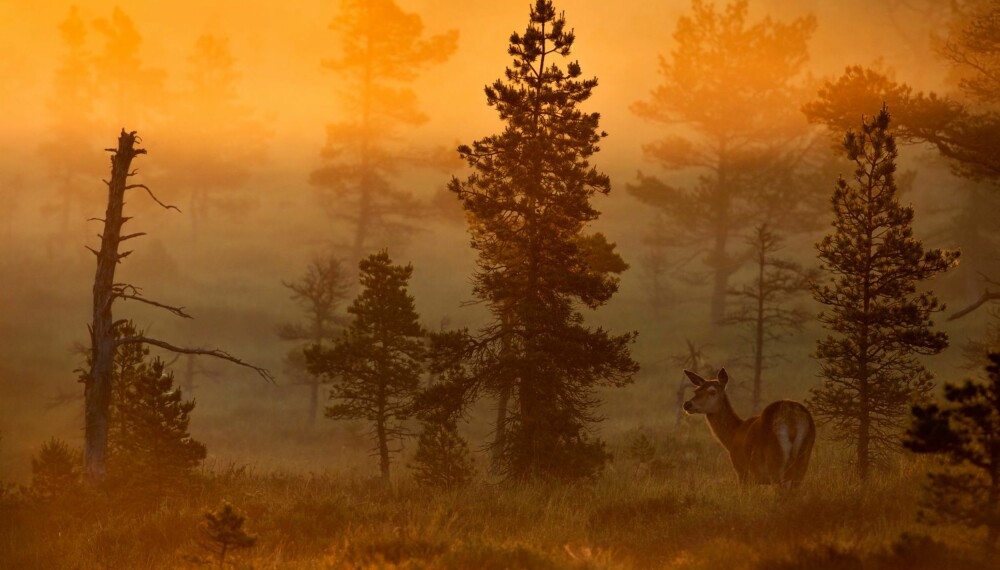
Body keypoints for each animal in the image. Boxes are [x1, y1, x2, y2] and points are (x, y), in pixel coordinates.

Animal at [684, 368, 816, 488]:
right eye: (696, 391)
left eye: (712, 391)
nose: (687, 404)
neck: (733, 436)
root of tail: (792, 418)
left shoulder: (742, 471)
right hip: (803, 459)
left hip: (775, 459)